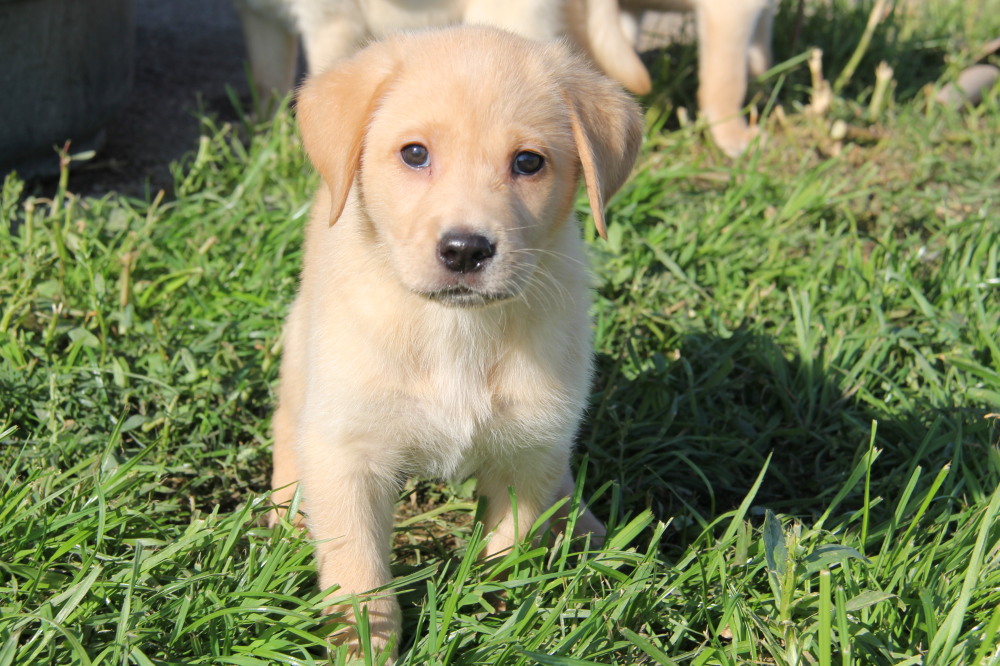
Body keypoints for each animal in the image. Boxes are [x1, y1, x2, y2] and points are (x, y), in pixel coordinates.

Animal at [268, 24, 640, 652]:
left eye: (528, 162)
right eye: (414, 154)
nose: (466, 250)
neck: (452, 330)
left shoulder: (524, 453)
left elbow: (507, 553)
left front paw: (495, 617)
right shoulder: (348, 453)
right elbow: (359, 575)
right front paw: (363, 645)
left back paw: (586, 527)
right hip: (303, 356)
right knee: (286, 427)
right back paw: (284, 516)